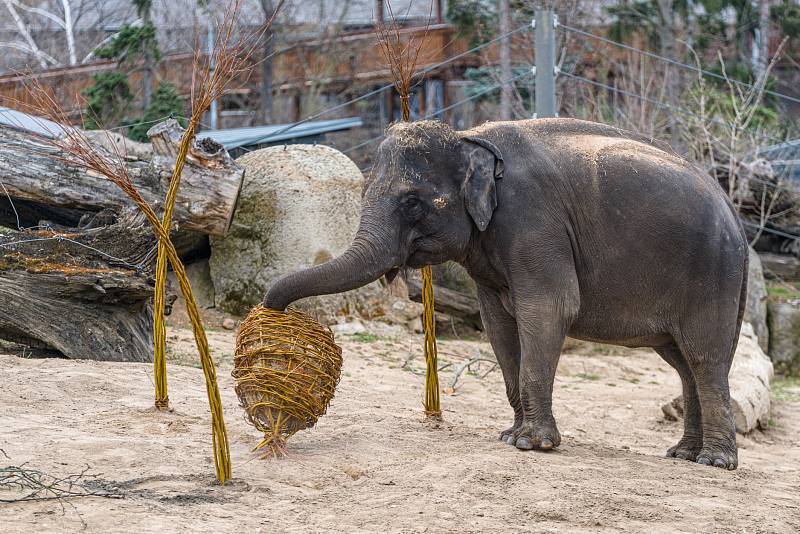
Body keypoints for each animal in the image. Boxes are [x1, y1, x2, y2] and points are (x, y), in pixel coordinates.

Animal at [264, 119, 752, 472]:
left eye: (412, 202)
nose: (273, 311)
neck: (468, 138)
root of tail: (735, 215)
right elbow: (498, 325)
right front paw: (509, 436)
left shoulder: (534, 222)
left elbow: (549, 310)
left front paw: (532, 445)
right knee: (684, 362)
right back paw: (683, 455)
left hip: (712, 275)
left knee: (703, 357)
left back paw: (713, 462)